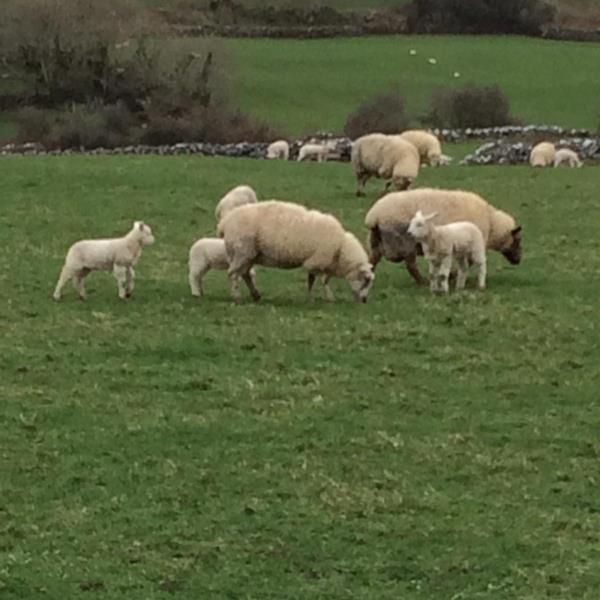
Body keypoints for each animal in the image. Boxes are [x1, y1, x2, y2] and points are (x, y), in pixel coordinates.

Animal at [217, 200, 374, 304]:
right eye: (366, 280)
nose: (365, 300)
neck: (341, 248)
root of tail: (225, 222)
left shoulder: (317, 263)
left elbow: (312, 280)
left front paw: (311, 297)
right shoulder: (317, 261)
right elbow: (322, 280)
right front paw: (329, 297)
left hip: (249, 255)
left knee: (245, 274)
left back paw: (256, 295)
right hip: (241, 252)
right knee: (233, 274)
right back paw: (237, 297)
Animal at [365, 188, 522, 285]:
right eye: (517, 240)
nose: (518, 261)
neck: (491, 223)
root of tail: (374, 216)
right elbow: (469, 263)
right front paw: (453, 276)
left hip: (376, 242)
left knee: (372, 261)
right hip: (405, 243)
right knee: (411, 265)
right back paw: (422, 282)